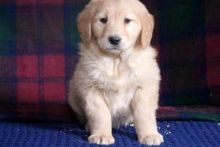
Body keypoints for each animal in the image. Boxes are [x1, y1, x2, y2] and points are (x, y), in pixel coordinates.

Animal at [68, 0, 163, 145]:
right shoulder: (91, 89)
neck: (116, 61)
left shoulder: (144, 88)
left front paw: (149, 135)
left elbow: (144, 114)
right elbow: (100, 114)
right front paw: (101, 134)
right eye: (103, 20)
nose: (114, 40)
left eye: (127, 20)